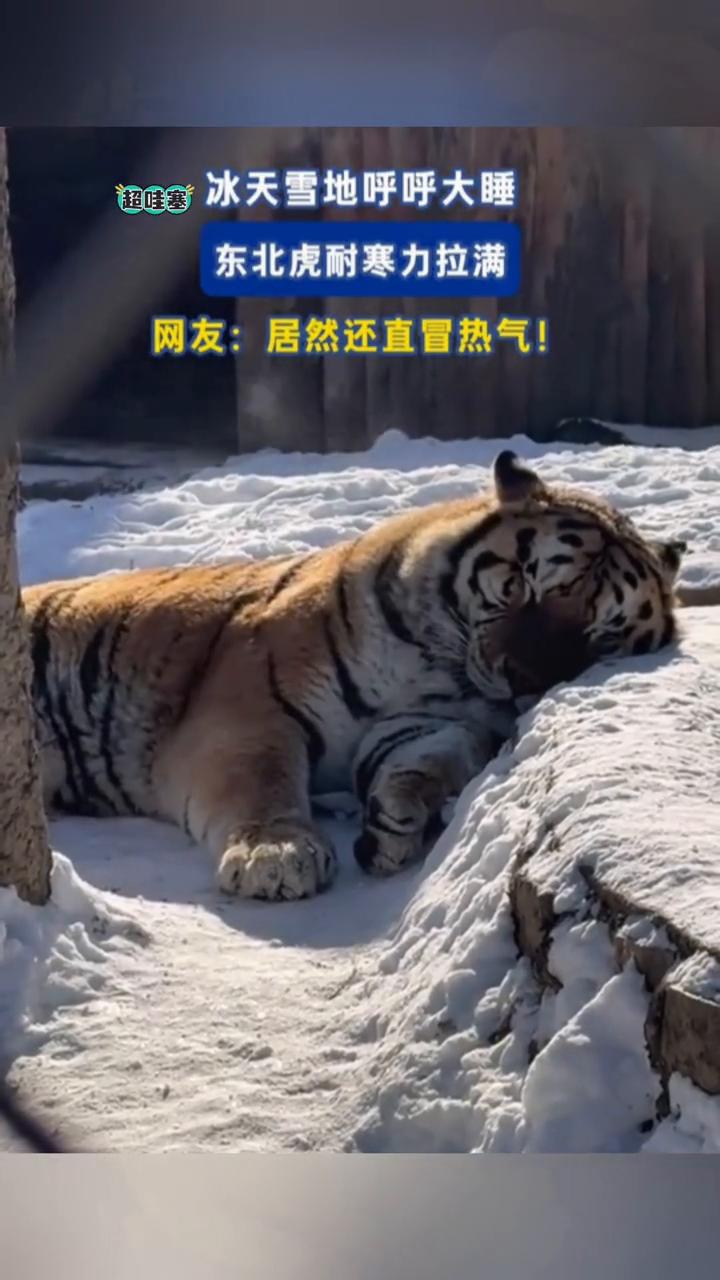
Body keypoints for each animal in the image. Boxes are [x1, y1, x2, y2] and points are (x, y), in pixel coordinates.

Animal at [23, 450, 688, 902]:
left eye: (599, 635)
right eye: (524, 584)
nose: (522, 679)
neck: (442, 669)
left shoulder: (424, 723)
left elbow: (431, 758)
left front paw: (393, 826)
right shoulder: (248, 712)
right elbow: (261, 783)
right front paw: (278, 856)